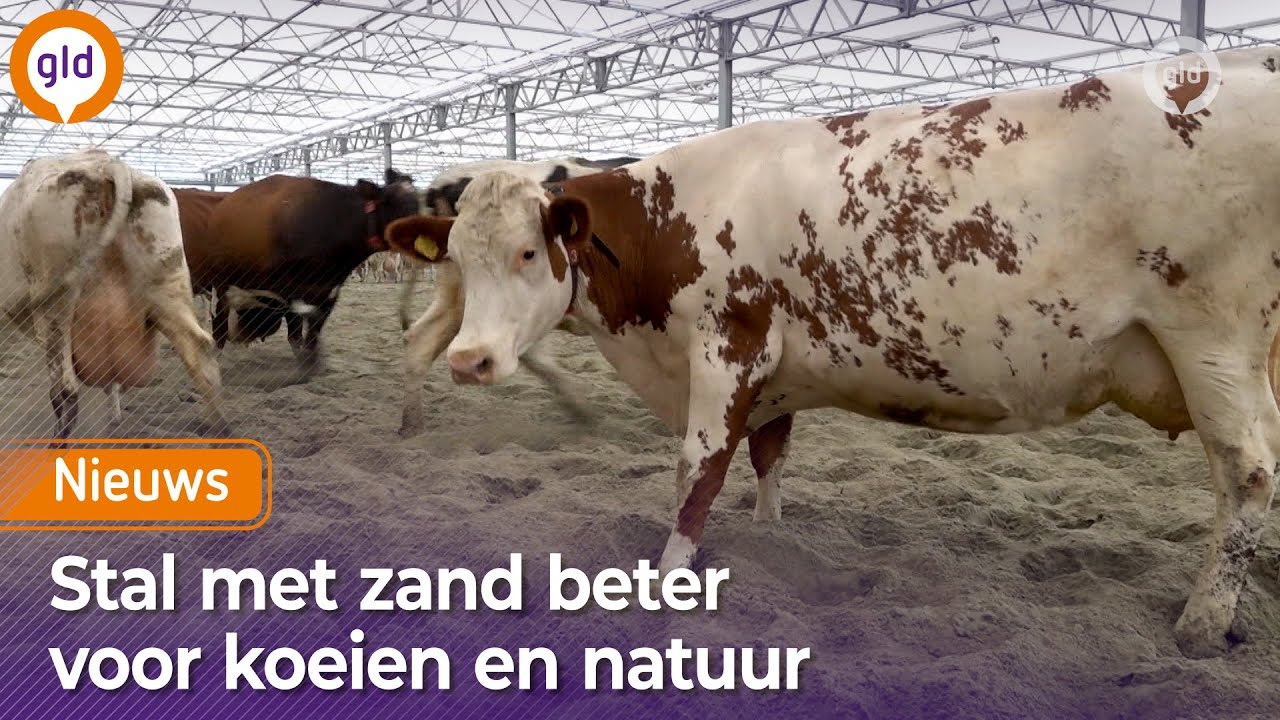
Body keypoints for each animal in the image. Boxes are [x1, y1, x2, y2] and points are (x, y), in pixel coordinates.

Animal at [0, 148, 226, 438]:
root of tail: (105, 163)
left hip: (56, 305)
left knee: (66, 391)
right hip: (165, 281)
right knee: (200, 349)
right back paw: (218, 427)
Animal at [192, 169, 418, 368]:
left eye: (420, 200)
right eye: (393, 202)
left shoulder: (328, 293)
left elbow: (311, 338)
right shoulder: (290, 293)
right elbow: (295, 337)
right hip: (222, 286)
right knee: (219, 328)